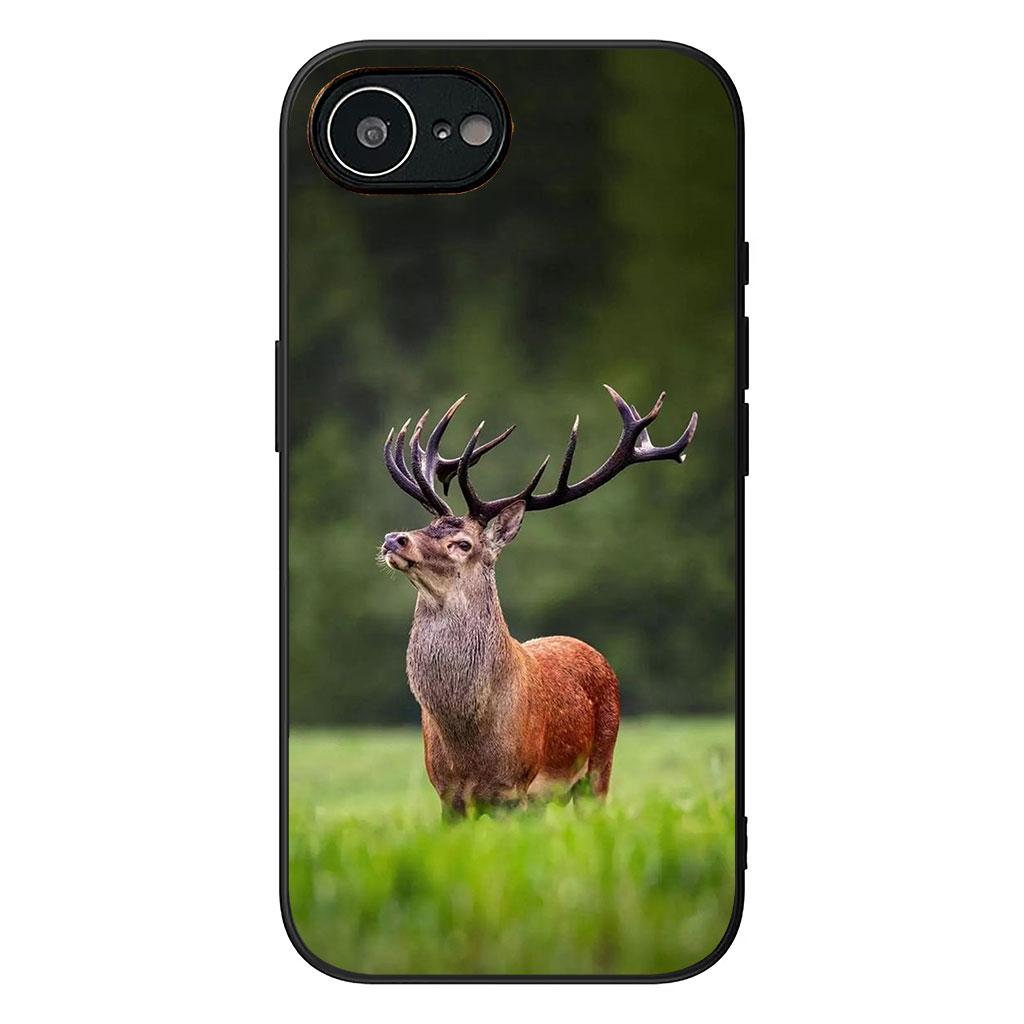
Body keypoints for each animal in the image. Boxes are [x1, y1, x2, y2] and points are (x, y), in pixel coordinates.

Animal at [379, 384, 697, 815]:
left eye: (463, 544)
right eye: (427, 525)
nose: (394, 539)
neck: (469, 738)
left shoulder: (514, 789)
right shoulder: (447, 794)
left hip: (599, 767)